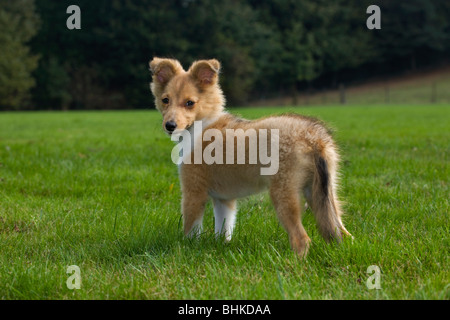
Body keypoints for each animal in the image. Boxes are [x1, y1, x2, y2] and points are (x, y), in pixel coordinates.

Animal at [149, 58, 350, 258]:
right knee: (342, 232)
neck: (202, 123)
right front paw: (221, 247)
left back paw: (293, 261)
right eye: (165, 100)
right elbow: (223, 228)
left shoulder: (193, 191)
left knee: (302, 238)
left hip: (285, 193)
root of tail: (314, 138)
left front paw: (187, 249)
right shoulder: (224, 199)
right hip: (322, 191)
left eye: (190, 102)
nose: (170, 126)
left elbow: (191, 228)